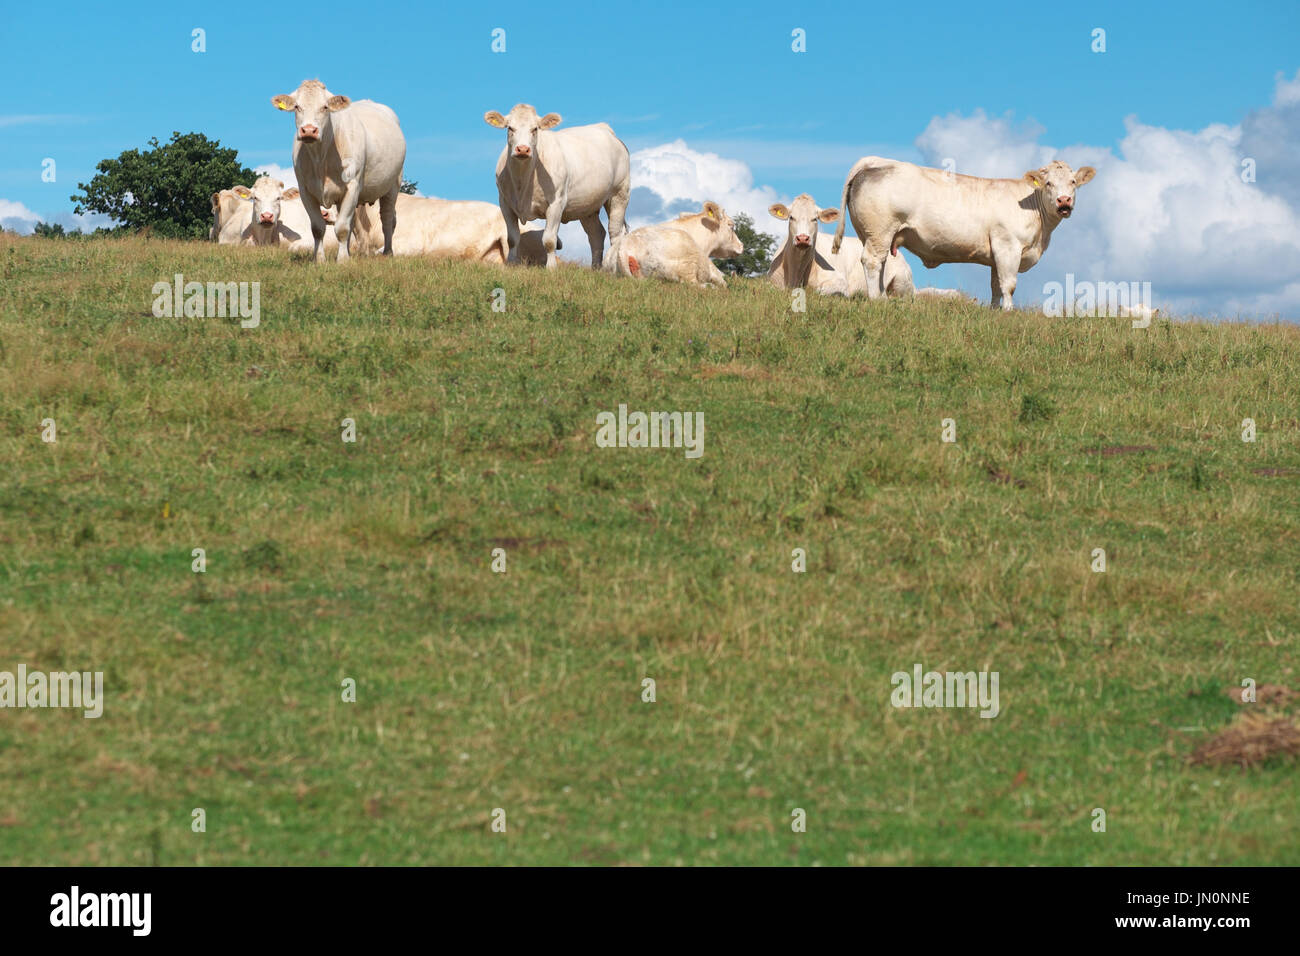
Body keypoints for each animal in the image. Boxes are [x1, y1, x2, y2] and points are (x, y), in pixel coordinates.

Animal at [267, 79, 400, 261]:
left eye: (325, 107)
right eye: (297, 106)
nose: (309, 130)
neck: (320, 159)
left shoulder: (353, 185)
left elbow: (342, 228)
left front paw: (342, 260)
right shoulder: (305, 191)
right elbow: (318, 228)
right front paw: (320, 259)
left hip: (393, 185)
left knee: (387, 218)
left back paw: (388, 252)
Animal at [486, 104, 631, 269]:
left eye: (535, 129)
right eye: (510, 128)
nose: (522, 149)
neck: (522, 183)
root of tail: (604, 128)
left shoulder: (556, 203)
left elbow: (549, 240)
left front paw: (551, 268)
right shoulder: (505, 203)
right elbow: (512, 238)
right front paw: (510, 265)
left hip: (620, 194)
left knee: (615, 233)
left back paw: (610, 267)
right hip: (587, 206)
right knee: (596, 234)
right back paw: (595, 268)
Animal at [764, 193, 909, 295]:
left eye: (815, 219)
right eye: (791, 217)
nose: (803, 238)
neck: (796, 273)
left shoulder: (839, 280)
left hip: (902, 281)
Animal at [832, 156, 1097, 306]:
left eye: (1073, 182)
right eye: (1049, 183)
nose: (1064, 201)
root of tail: (878, 162)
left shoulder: (996, 254)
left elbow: (995, 287)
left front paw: (995, 312)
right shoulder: (1008, 246)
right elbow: (1008, 285)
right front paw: (1009, 311)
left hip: (875, 235)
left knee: (881, 262)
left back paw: (882, 297)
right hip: (880, 230)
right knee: (872, 262)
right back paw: (877, 300)